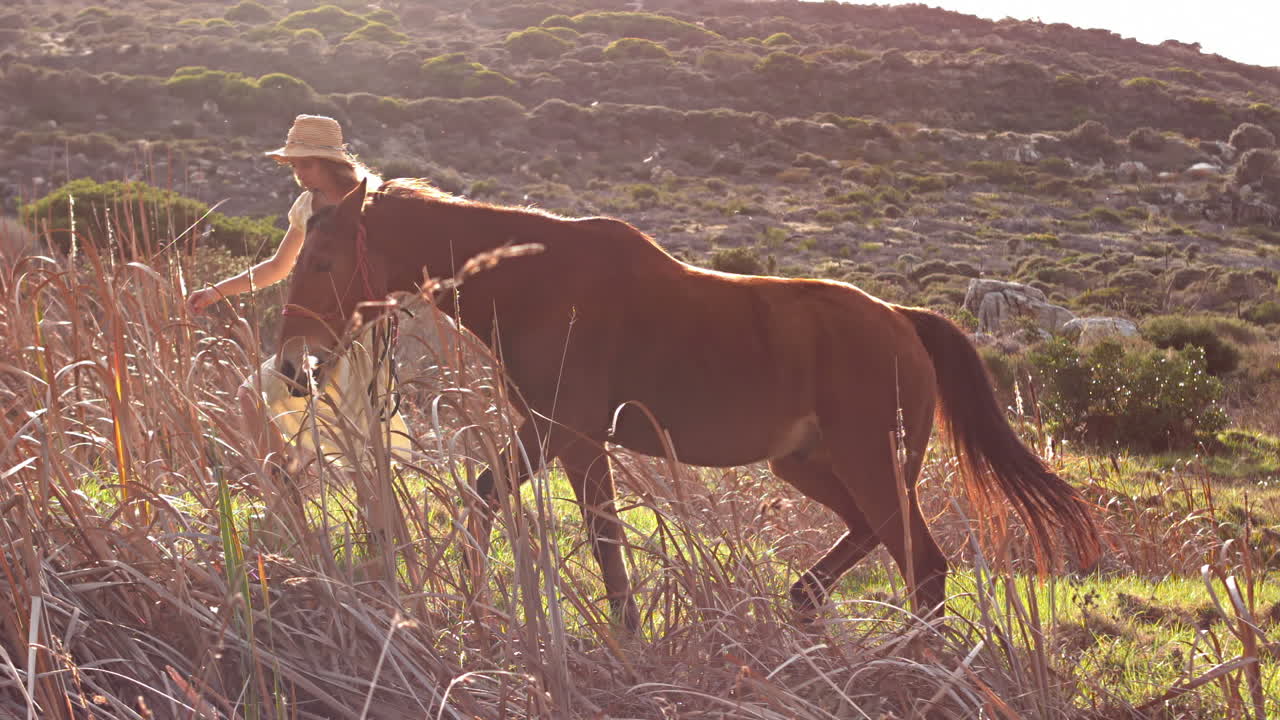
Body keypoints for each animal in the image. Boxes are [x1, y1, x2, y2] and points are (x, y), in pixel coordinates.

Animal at [277, 177, 1100, 630]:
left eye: (322, 261)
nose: (291, 366)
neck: (533, 283)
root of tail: (903, 320)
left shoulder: (576, 438)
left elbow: (605, 540)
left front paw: (628, 635)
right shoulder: (544, 431)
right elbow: (485, 497)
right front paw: (473, 605)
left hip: (868, 461)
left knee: (923, 568)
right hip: (809, 465)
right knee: (873, 540)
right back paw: (803, 603)